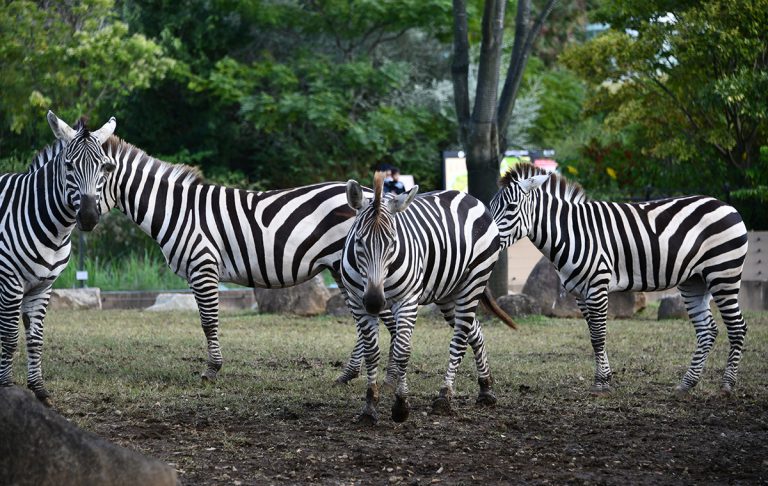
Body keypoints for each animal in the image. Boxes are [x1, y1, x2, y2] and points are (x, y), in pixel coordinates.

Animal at [0, 112, 117, 404]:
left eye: (104, 168)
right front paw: (6, 387)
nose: (88, 217)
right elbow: (9, 336)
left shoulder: (43, 286)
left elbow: (35, 338)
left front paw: (38, 390)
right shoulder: (10, 283)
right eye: (69, 166)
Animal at [342, 173, 516, 424]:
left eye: (393, 242)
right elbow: (371, 352)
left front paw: (401, 405)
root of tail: (467, 196)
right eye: (358, 242)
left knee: (460, 339)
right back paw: (485, 389)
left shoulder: (407, 301)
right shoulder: (357, 302)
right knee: (475, 331)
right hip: (448, 294)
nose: (374, 302)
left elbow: (402, 351)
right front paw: (369, 407)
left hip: (474, 281)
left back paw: (445, 396)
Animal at [488, 161, 748, 396]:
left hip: (723, 274)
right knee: (707, 330)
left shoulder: (597, 286)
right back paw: (687, 384)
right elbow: (594, 336)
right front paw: (606, 378)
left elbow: (599, 336)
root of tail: (726, 205)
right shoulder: (581, 293)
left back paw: (726, 386)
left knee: (737, 327)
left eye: (511, 207)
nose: (489, 238)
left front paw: (600, 384)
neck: (572, 233)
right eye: (490, 205)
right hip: (694, 281)